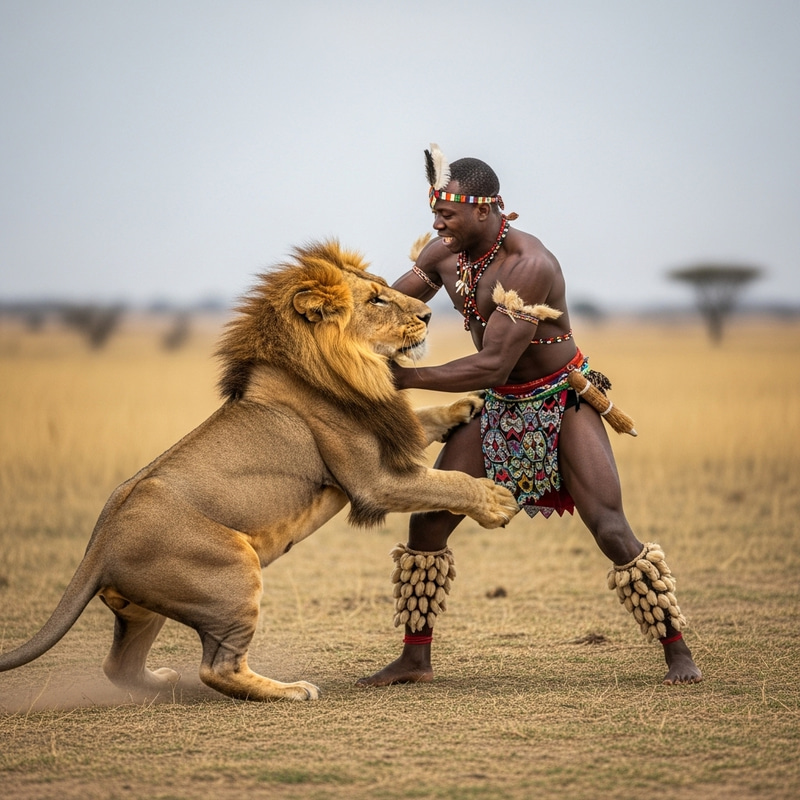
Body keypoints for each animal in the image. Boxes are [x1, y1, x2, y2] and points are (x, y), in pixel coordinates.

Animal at [0, 240, 520, 702]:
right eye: (376, 299)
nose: (429, 316)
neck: (349, 367)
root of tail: (98, 545)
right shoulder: (376, 481)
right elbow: (448, 482)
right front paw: (496, 501)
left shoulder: (390, 432)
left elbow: (427, 419)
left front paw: (467, 405)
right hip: (232, 572)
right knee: (218, 668)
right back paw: (290, 690)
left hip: (145, 608)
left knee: (119, 666)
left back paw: (166, 683)